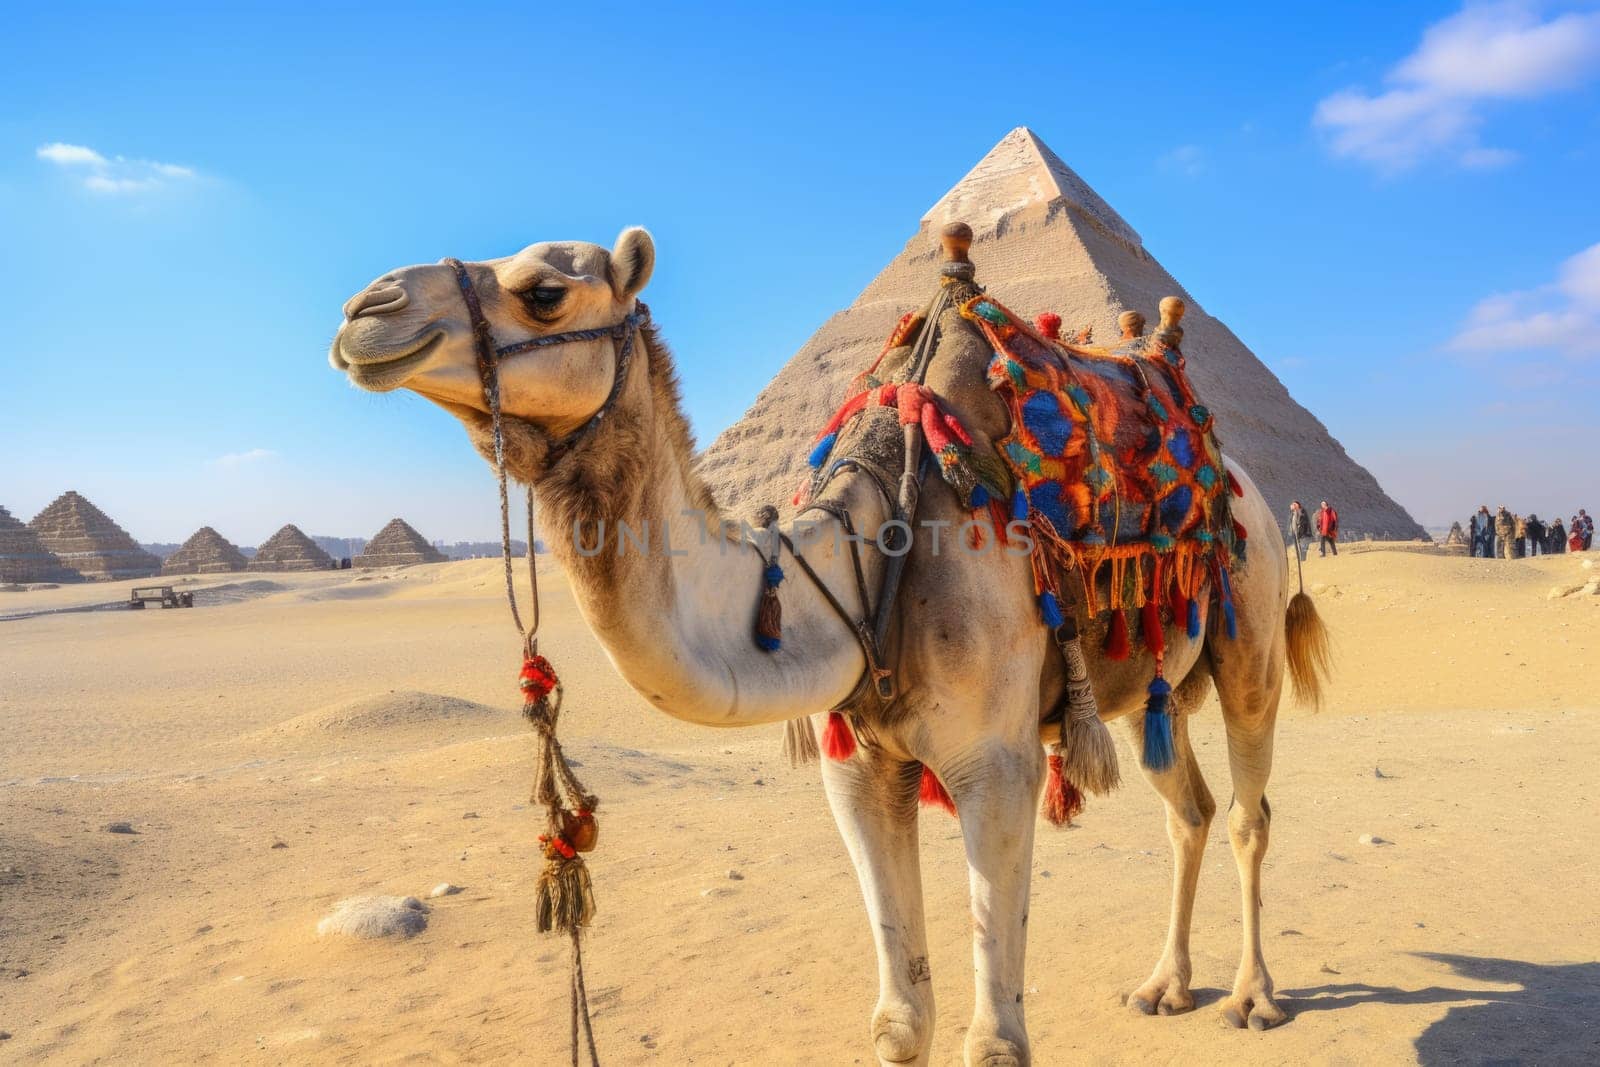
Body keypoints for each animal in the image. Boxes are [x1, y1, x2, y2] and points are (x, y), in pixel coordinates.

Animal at [331, 230, 1331, 1062]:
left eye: (543, 293)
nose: (364, 310)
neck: (865, 562)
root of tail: (1239, 476)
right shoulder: (859, 765)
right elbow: (901, 1022)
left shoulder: (997, 764)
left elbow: (995, 1042)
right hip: (1141, 686)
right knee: (1186, 807)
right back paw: (1166, 985)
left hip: (1249, 626)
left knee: (1248, 811)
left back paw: (1253, 997)